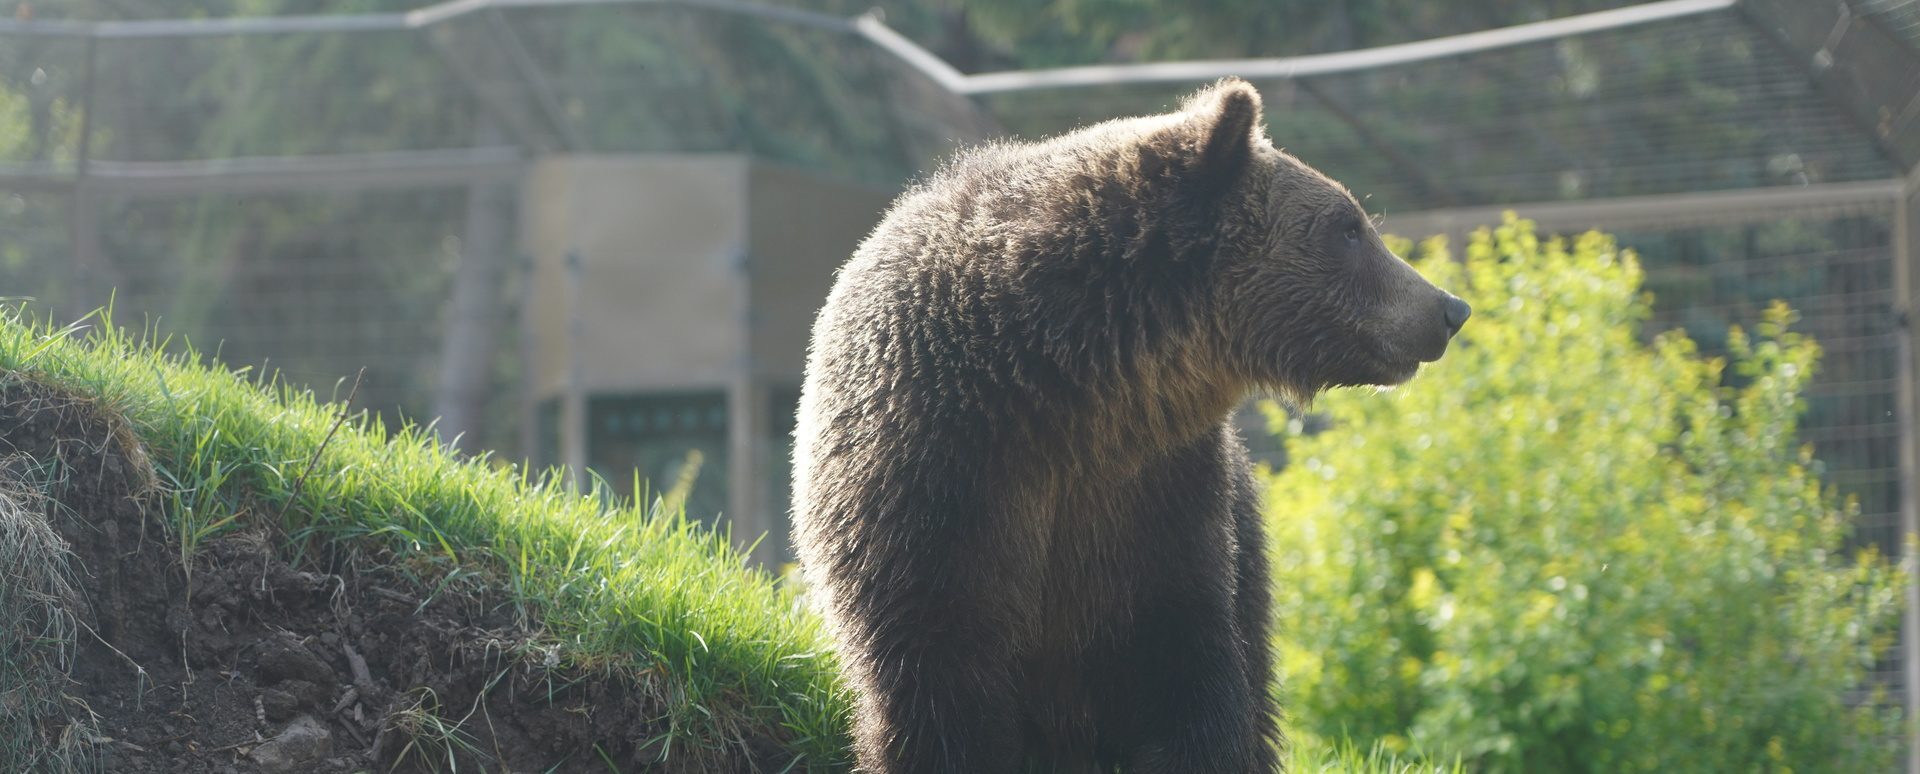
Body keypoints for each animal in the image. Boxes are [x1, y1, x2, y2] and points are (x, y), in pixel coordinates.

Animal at [791, 78, 1469, 773]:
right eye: (1349, 226)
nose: (1449, 308)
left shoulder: (1156, 504)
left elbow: (1189, 679)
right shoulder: (938, 491)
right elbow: (938, 695)